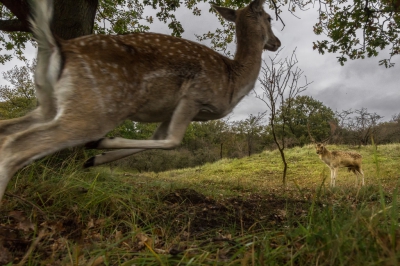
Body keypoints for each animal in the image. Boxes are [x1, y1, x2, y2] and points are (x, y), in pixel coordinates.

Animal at [0, 0, 282, 203]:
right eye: (270, 18)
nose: (277, 42)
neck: (234, 81)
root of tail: (61, 45)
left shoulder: (171, 111)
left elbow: (156, 139)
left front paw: (95, 157)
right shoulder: (195, 96)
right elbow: (172, 141)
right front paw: (99, 147)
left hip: (48, 103)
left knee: (7, 130)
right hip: (97, 107)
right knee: (17, 146)